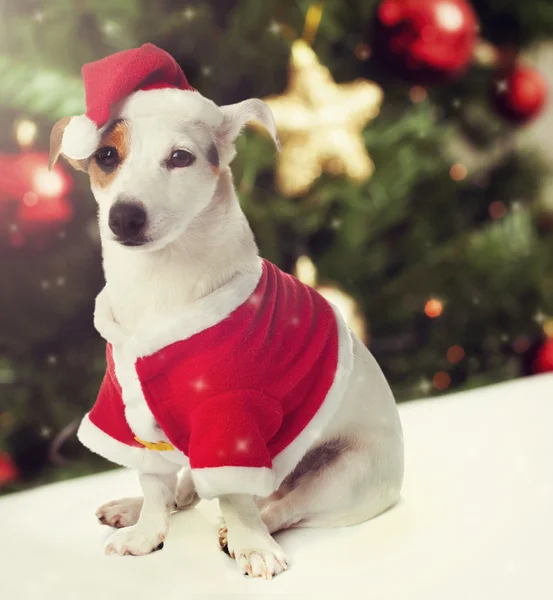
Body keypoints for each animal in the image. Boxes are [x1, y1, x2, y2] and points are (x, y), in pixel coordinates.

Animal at [48, 44, 402, 580]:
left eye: (180, 158)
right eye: (106, 156)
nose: (124, 216)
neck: (158, 286)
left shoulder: (232, 418)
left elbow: (235, 497)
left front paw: (250, 545)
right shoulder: (123, 406)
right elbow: (155, 483)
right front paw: (146, 534)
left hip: (345, 473)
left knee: (279, 504)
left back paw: (244, 531)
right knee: (188, 486)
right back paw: (133, 509)